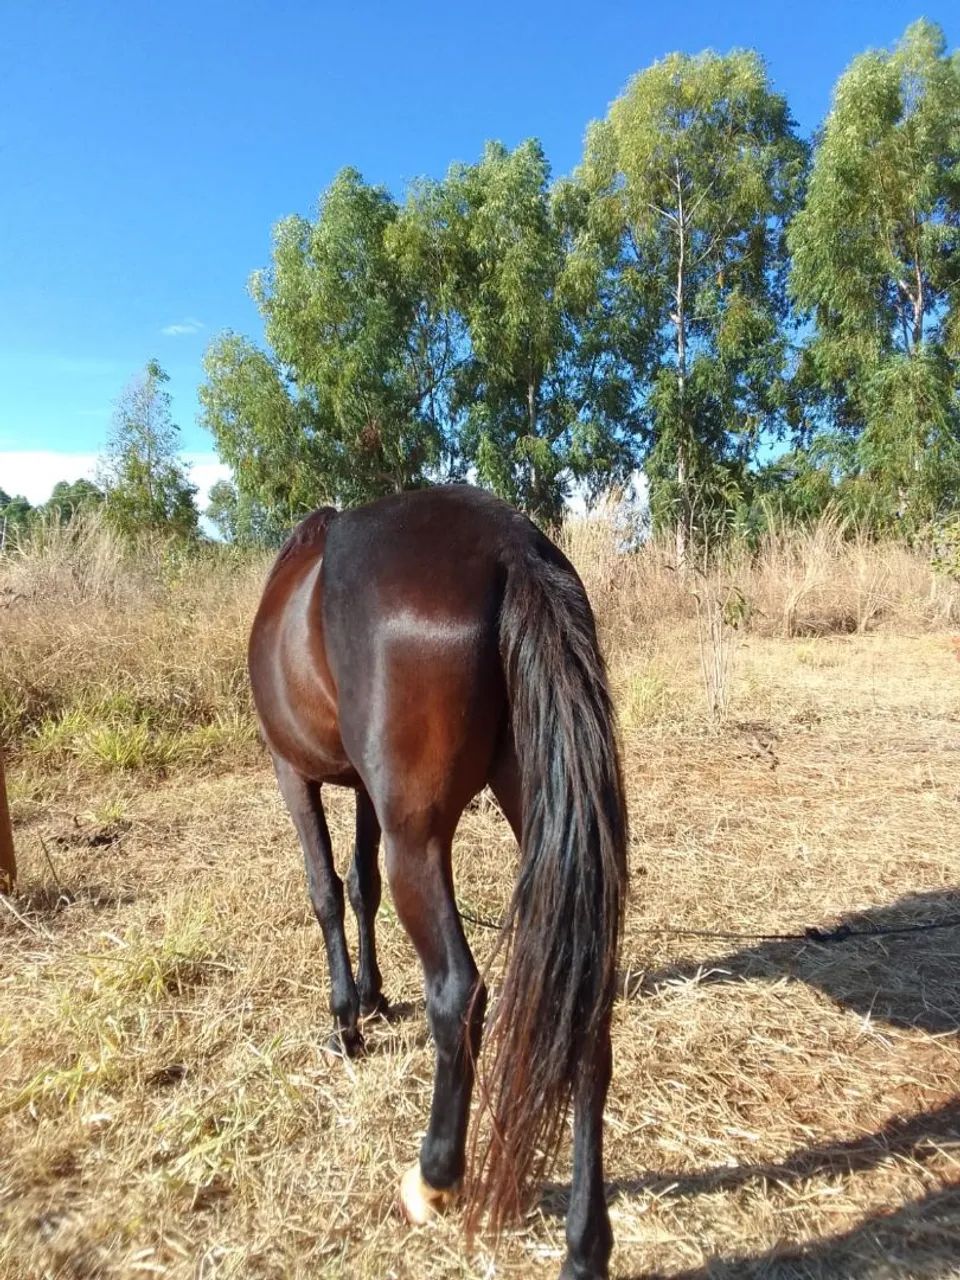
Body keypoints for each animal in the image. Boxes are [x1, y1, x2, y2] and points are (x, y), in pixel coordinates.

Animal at [247, 484, 628, 1280]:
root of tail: (509, 547)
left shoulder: (292, 773)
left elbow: (326, 889)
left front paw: (346, 1020)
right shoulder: (362, 788)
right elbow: (360, 885)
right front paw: (371, 995)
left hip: (417, 841)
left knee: (458, 992)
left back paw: (435, 1177)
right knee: (584, 1009)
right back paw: (585, 1246)